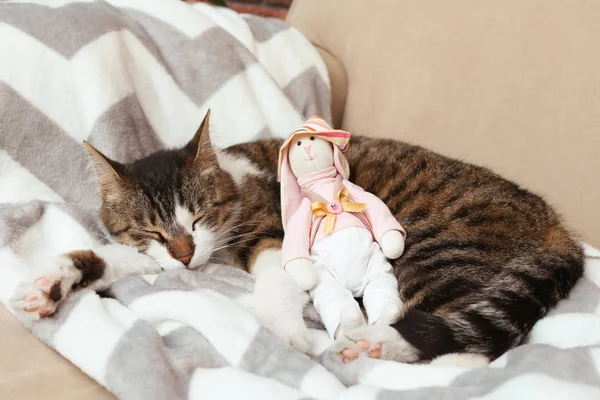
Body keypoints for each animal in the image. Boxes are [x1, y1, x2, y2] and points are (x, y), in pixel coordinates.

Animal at [8, 110, 580, 366]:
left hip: (431, 249)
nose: (188, 256)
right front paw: (49, 285)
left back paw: (378, 344)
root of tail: (556, 224)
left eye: (198, 218)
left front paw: (286, 334)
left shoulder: (272, 235)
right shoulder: (159, 258)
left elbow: (276, 287)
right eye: (150, 230)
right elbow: (112, 257)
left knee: (469, 343)